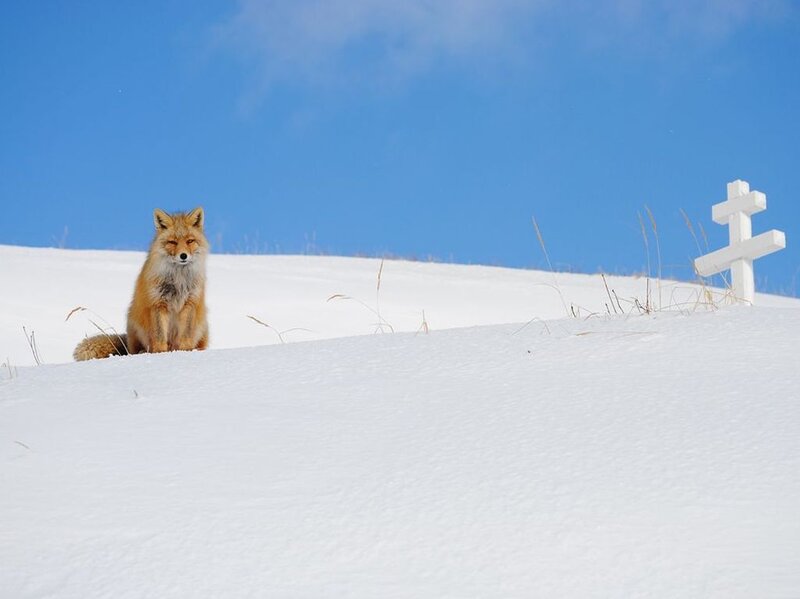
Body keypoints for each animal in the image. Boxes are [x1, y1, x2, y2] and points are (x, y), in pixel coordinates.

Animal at [73, 207, 209, 361]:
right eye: (172, 242)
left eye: (190, 241)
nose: (183, 256)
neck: (178, 279)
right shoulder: (157, 303)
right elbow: (159, 336)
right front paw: (160, 354)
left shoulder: (190, 302)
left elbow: (186, 334)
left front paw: (186, 352)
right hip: (134, 322)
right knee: (136, 349)